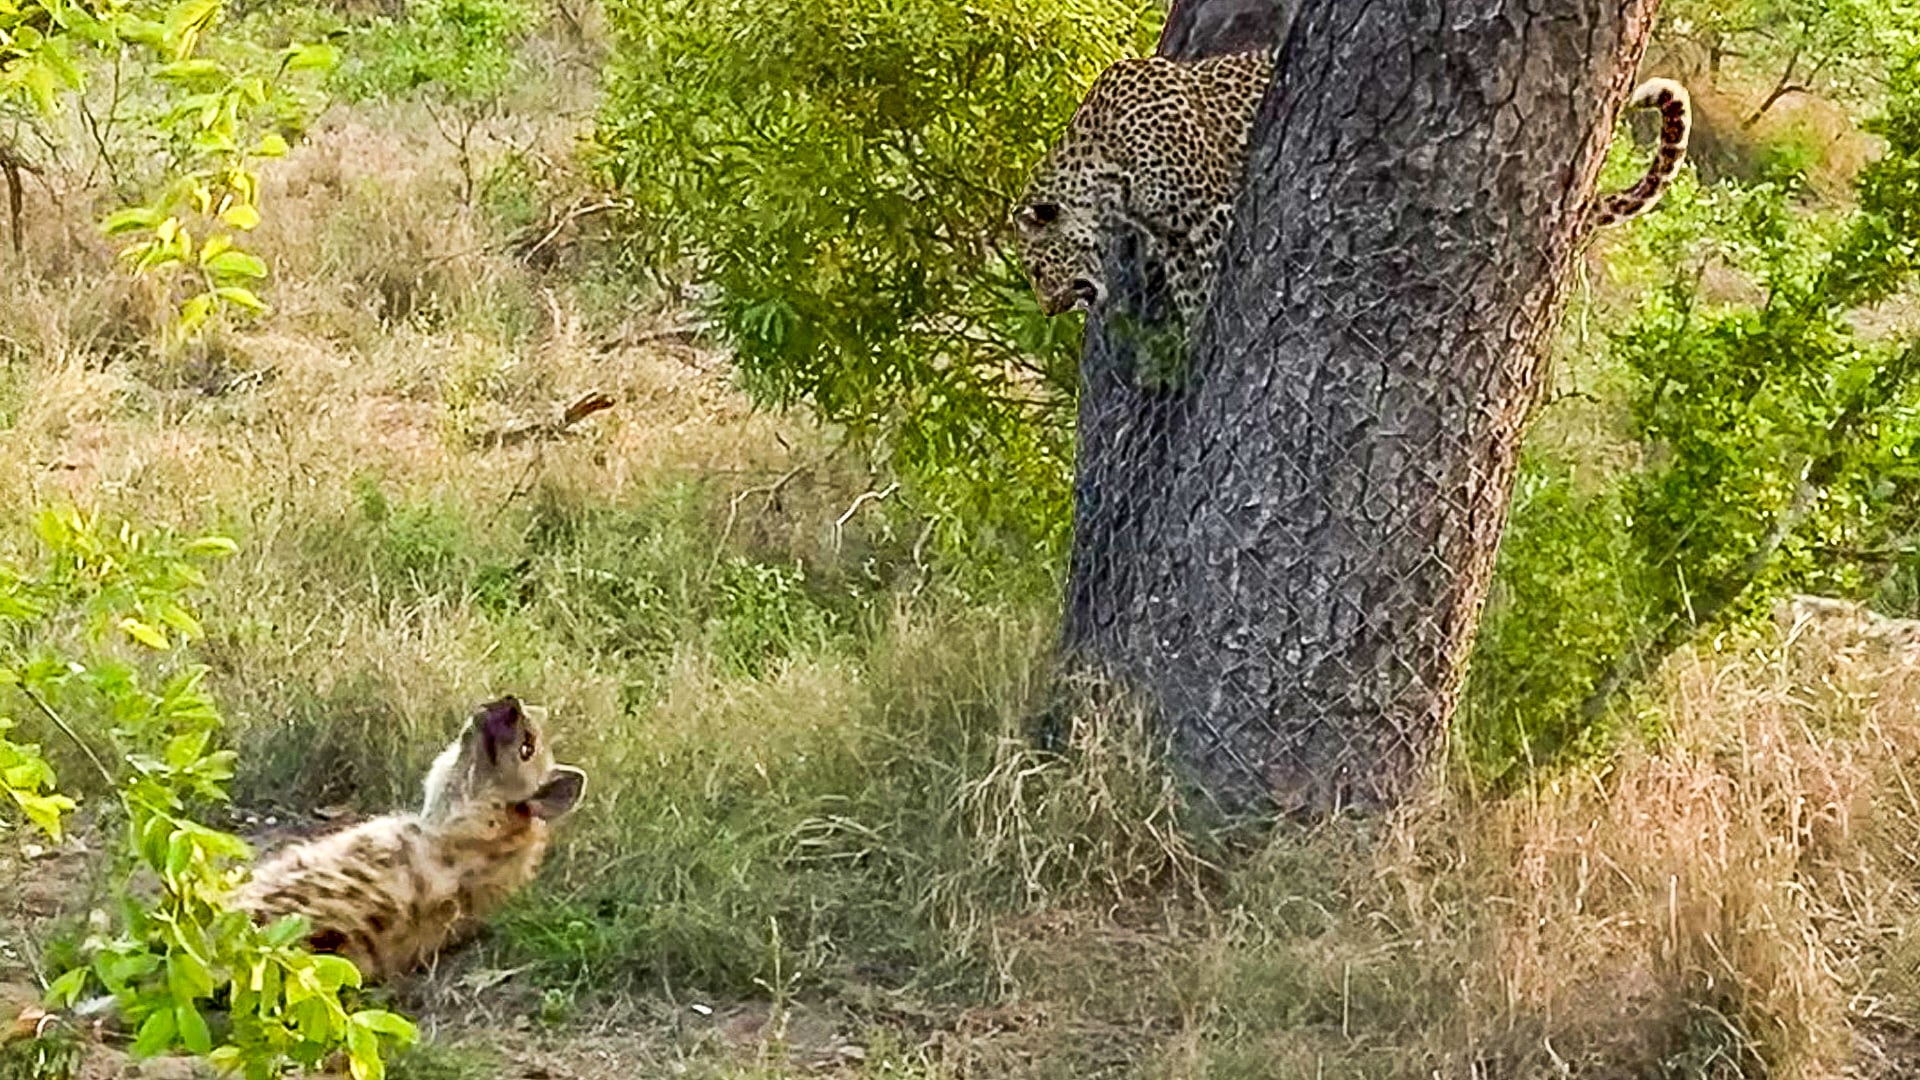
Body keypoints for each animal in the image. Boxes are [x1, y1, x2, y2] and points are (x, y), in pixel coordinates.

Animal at [1010, 50, 1692, 336]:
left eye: (1040, 269)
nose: (1049, 308)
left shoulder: (1209, 206)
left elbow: (1211, 270)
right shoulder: (1174, 235)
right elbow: (1186, 287)